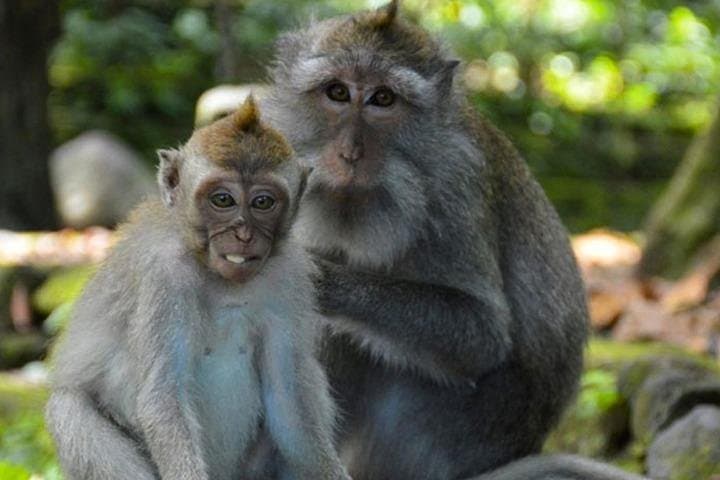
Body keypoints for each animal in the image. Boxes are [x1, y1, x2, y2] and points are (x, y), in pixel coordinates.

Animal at [45, 97, 351, 480]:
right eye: (222, 200)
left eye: (263, 202)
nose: (243, 234)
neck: (220, 278)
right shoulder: (163, 277)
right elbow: (163, 396)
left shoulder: (289, 276)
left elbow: (289, 400)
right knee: (68, 409)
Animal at [261, 2, 594, 479]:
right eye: (337, 92)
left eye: (383, 99)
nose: (350, 153)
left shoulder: (457, 189)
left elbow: (482, 334)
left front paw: (323, 280)